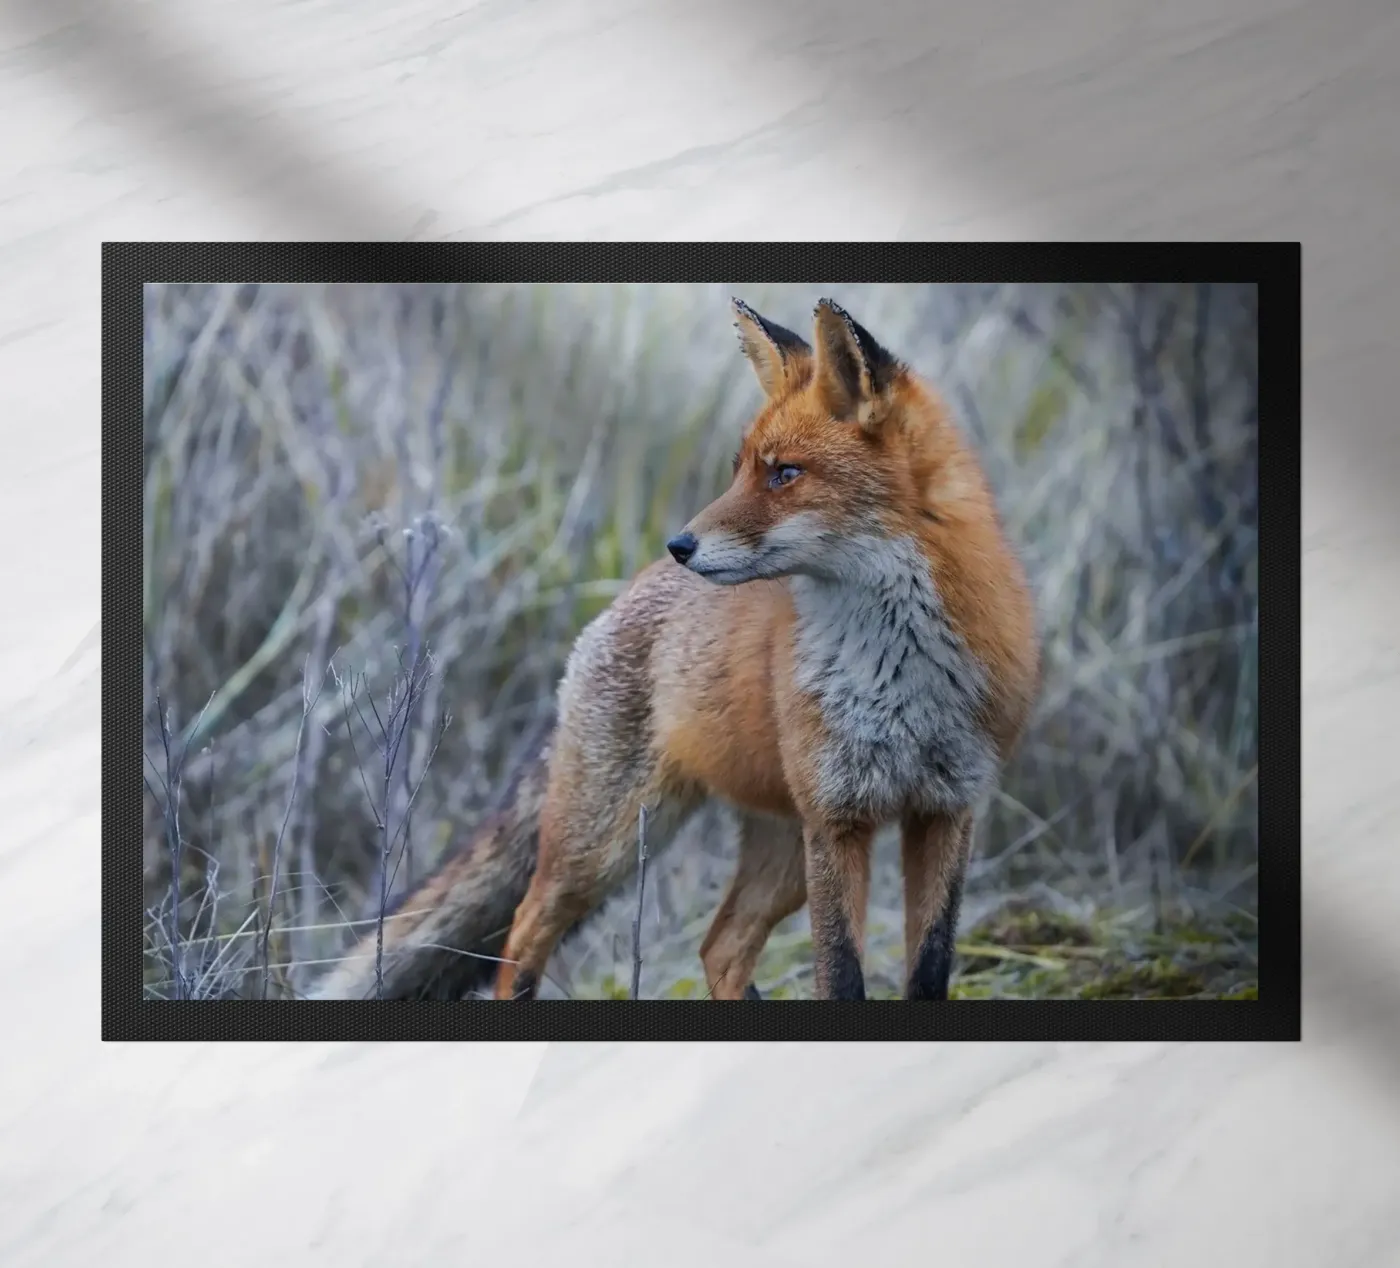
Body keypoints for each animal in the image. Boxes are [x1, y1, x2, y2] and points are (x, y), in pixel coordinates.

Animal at [311, 297, 1040, 1002]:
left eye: (785, 474)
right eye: (741, 470)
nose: (680, 544)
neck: (899, 672)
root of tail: (622, 596)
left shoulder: (946, 810)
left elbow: (930, 971)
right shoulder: (837, 819)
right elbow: (841, 975)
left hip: (781, 851)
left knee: (719, 948)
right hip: (605, 845)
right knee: (524, 931)